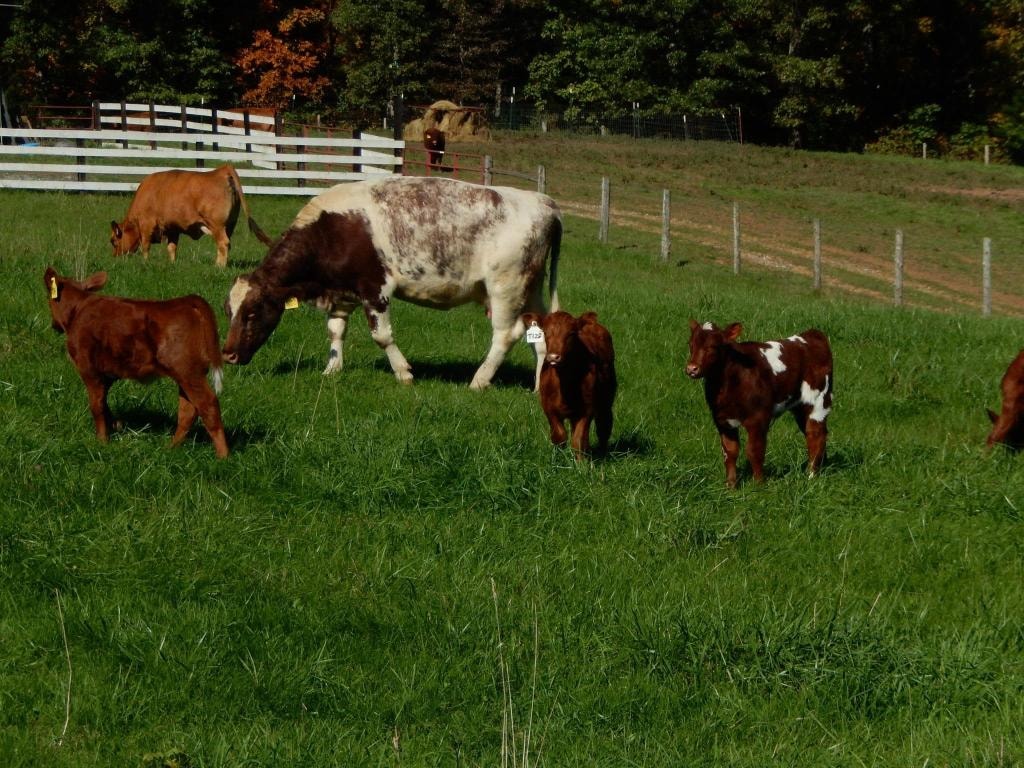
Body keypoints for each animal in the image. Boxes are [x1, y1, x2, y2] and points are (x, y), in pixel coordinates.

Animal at [43, 267, 229, 458]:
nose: (53, 325)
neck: (78, 309)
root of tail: (186, 300)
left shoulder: (89, 370)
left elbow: (96, 406)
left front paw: (102, 441)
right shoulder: (108, 374)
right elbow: (104, 403)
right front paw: (116, 425)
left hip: (189, 372)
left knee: (208, 404)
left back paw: (223, 455)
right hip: (186, 374)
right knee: (188, 410)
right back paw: (171, 448)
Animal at [110, 164, 273, 267]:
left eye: (113, 241)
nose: (115, 257)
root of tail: (221, 170)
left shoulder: (147, 224)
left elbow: (145, 245)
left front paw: (145, 262)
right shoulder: (173, 228)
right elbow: (172, 247)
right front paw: (172, 263)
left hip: (217, 225)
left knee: (223, 243)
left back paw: (218, 267)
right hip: (229, 225)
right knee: (226, 244)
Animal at [222, 176, 561, 390]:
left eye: (251, 313)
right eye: (228, 312)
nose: (228, 355)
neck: (331, 230)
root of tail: (543, 202)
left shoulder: (375, 289)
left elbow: (381, 336)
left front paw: (403, 373)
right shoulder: (342, 292)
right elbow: (336, 330)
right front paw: (332, 369)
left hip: (506, 287)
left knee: (506, 335)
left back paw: (479, 380)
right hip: (531, 290)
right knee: (540, 333)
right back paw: (538, 386)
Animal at [521, 310, 616, 458]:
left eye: (571, 333)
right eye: (545, 332)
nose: (553, 357)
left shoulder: (587, 408)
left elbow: (578, 440)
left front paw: (581, 463)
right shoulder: (548, 406)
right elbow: (559, 436)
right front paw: (558, 458)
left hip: (606, 398)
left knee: (604, 426)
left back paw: (601, 452)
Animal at [685, 320, 833, 488]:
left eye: (713, 346)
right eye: (691, 344)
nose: (691, 369)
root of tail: (812, 334)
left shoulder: (758, 418)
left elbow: (754, 451)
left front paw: (759, 484)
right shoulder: (722, 420)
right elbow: (729, 452)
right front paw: (731, 485)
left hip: (818, 401)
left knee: (816, 435)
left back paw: (811, 475)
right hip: (800, 408)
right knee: (814, 433)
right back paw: (821, 467)